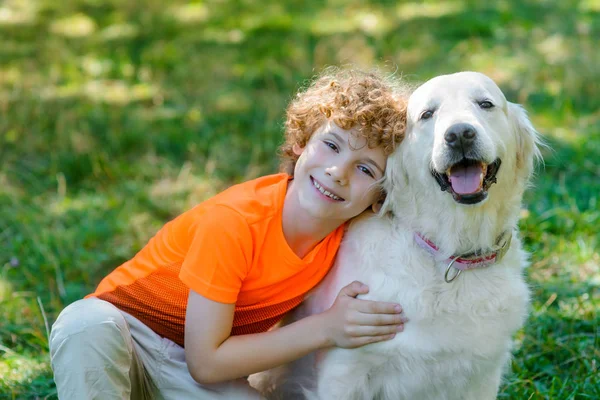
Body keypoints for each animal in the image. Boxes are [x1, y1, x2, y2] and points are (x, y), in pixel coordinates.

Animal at [251, 72, 540, 400]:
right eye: (427, 114)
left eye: (486, 104)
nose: (459, 134)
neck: (451, 253)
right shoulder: (344, 369)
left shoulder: (482, 375)